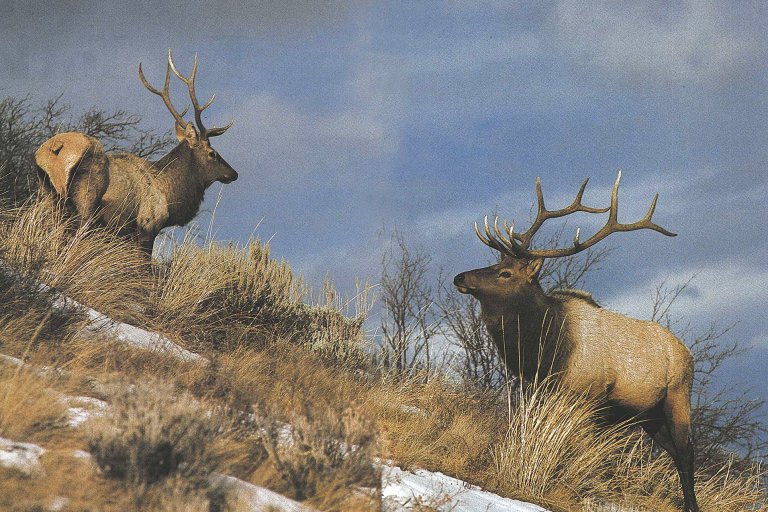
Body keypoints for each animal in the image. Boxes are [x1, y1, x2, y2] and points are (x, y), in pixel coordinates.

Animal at [34, 50, 238, 256]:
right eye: (212, 153)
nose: (233, 174)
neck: (168, 193)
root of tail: (54, 151)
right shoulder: (147, 224)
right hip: (85, 201)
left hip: (50, 198)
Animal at [453, 172, 699, 512]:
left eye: (505, 273)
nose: (460, 277)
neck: (543, 348)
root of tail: (688, 353)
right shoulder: (541, 388)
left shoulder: (586, 395)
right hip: (649, 414)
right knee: (675, 452)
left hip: (678, 395)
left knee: (687, 452)